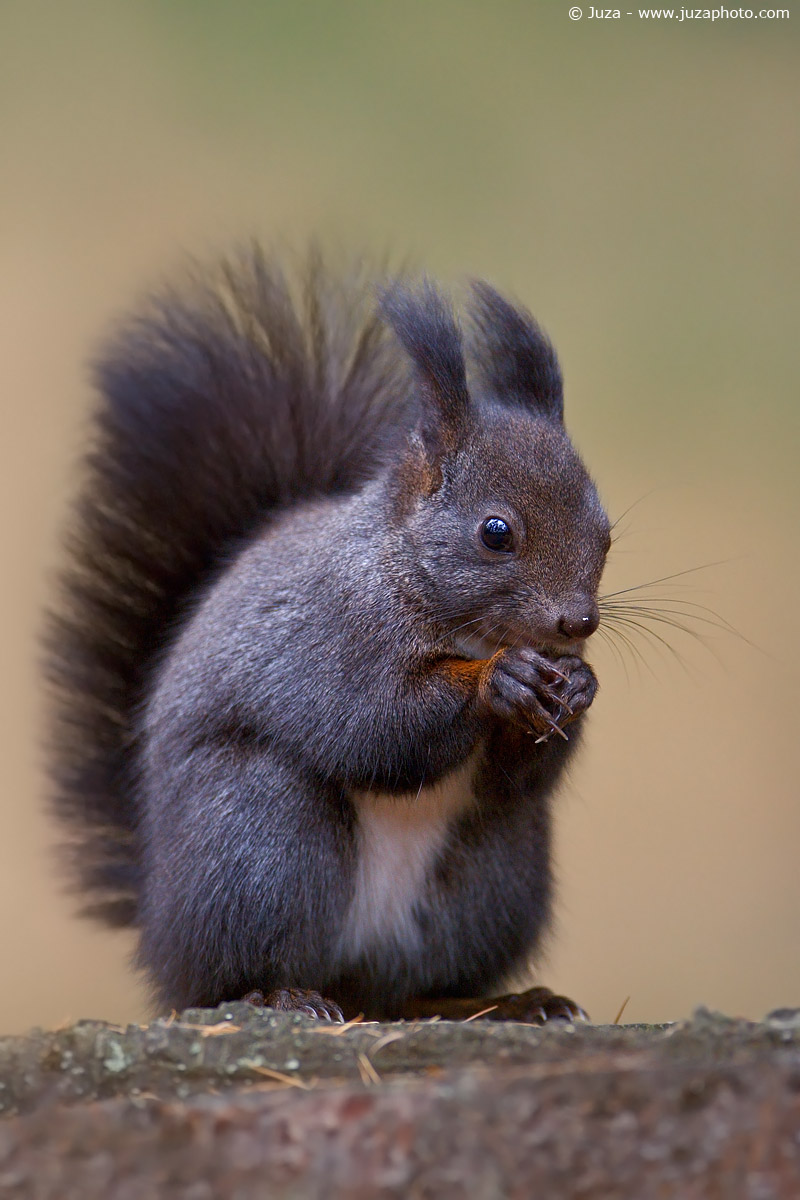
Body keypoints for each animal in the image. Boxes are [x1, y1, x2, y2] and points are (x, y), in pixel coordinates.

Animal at [44, 246, 611, 1024]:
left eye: (607, 534)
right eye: (496, 532)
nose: (576, 623)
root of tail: (161, 928)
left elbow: (520, 775)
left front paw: (577, 686)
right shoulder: (328, 634)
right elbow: (370, 724)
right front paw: (498, 680)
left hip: (496, 869)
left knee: (412, 987)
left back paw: (507, 1002)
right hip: (261, 838)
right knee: (238, 970)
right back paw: (280, 994)